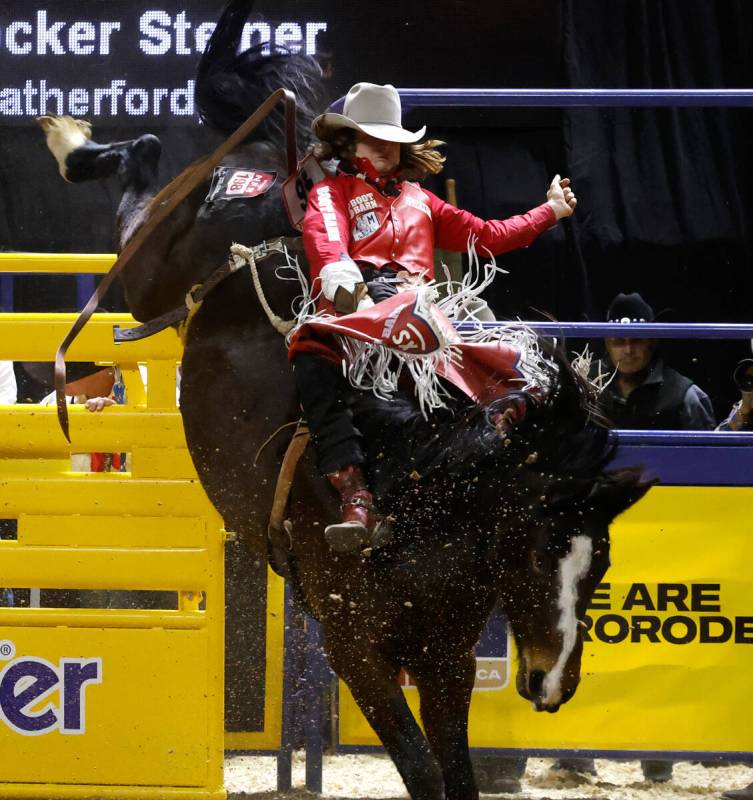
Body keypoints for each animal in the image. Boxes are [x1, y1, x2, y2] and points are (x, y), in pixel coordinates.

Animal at [36, 3, 648, 796]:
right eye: (539, 550)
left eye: (599, 567)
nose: (552, 686)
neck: (415, 490)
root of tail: (288, 175)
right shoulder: (355, 652)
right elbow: (420, 768)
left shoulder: (446, 659)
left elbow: (455, 772)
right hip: (149, 262)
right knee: (141, 163)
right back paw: (75, 144)